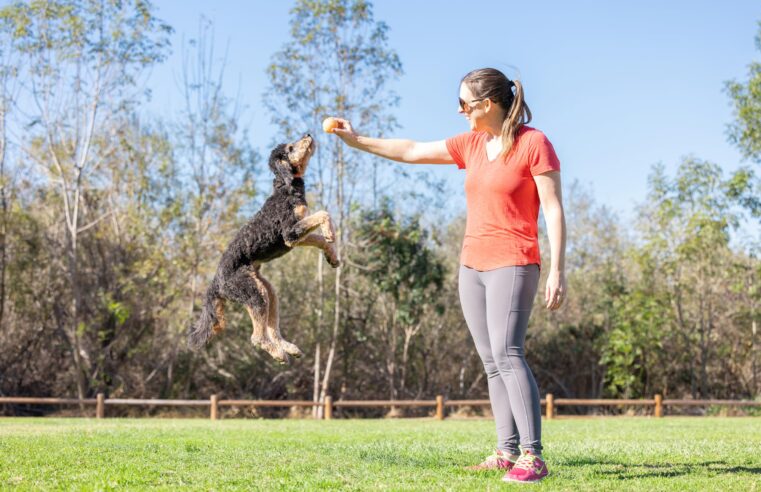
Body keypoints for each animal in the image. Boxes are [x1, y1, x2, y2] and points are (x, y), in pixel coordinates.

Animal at [187, 134, 338, 362]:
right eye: (290, 148)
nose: (308, 135)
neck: (285, 187)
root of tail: (216, 283)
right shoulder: (290, 233)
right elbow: (323, 214)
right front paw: (331, 232)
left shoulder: (295, 237)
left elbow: (319, 238)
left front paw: (332, 255)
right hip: (253, 293)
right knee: (256, 337)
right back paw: (277, 353)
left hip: (267, 291)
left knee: (272, 328)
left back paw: (288, 347)